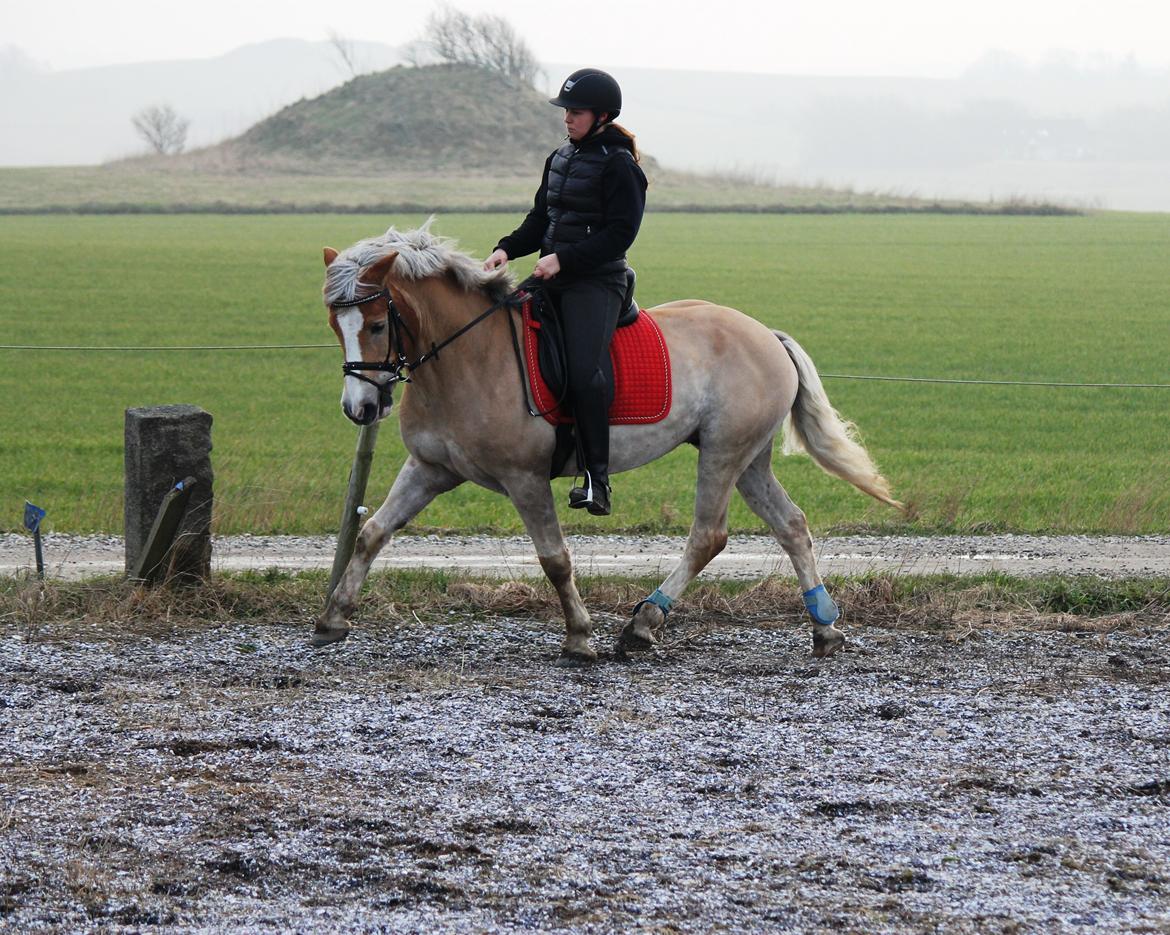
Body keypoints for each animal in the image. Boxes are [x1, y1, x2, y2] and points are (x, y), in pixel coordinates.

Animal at [315, 222, 898, 660]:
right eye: (335, 326)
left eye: (375, 324)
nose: (359, 408)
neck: (467, 356)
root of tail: (767, 335)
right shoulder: (430, 469)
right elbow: (372, 533)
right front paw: (333, 618)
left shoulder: (525, 479)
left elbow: (554, 558)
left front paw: (579, 636)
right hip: (750, 459)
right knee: (791, 525)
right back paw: (824, 627)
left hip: (723, 452)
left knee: (708, 535)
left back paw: (643, 624)